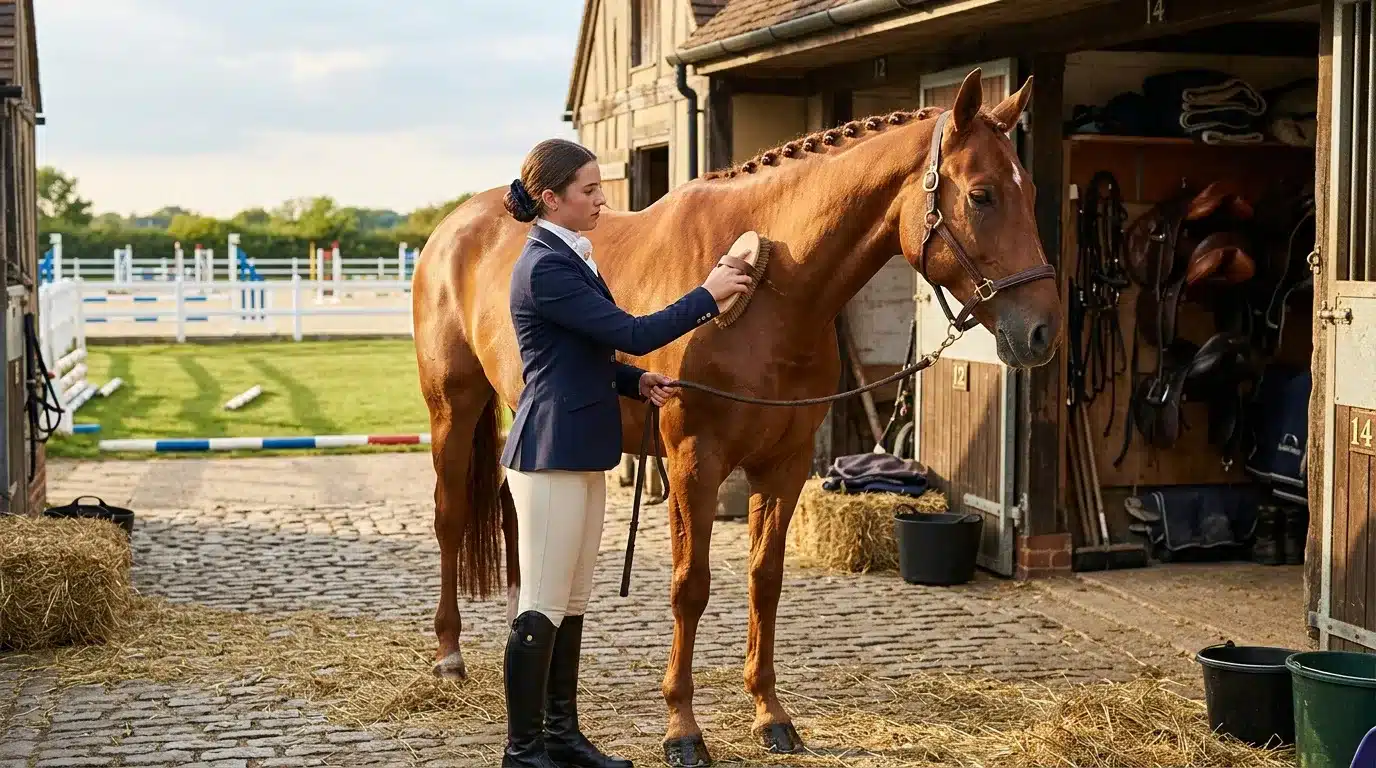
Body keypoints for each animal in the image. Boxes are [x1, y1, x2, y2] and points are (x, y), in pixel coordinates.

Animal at [411, 68, 1062, 765]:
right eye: (983, 195)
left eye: (1028, 193)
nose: (1042, 332)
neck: (773, 293)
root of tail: (453, 227)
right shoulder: (693, 463)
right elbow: (690, 586)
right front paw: (682, 728)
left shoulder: (783, 465)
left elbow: (764, 580)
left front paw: (771, 715)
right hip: (453, 407)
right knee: (450, 517)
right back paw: (448, 656)